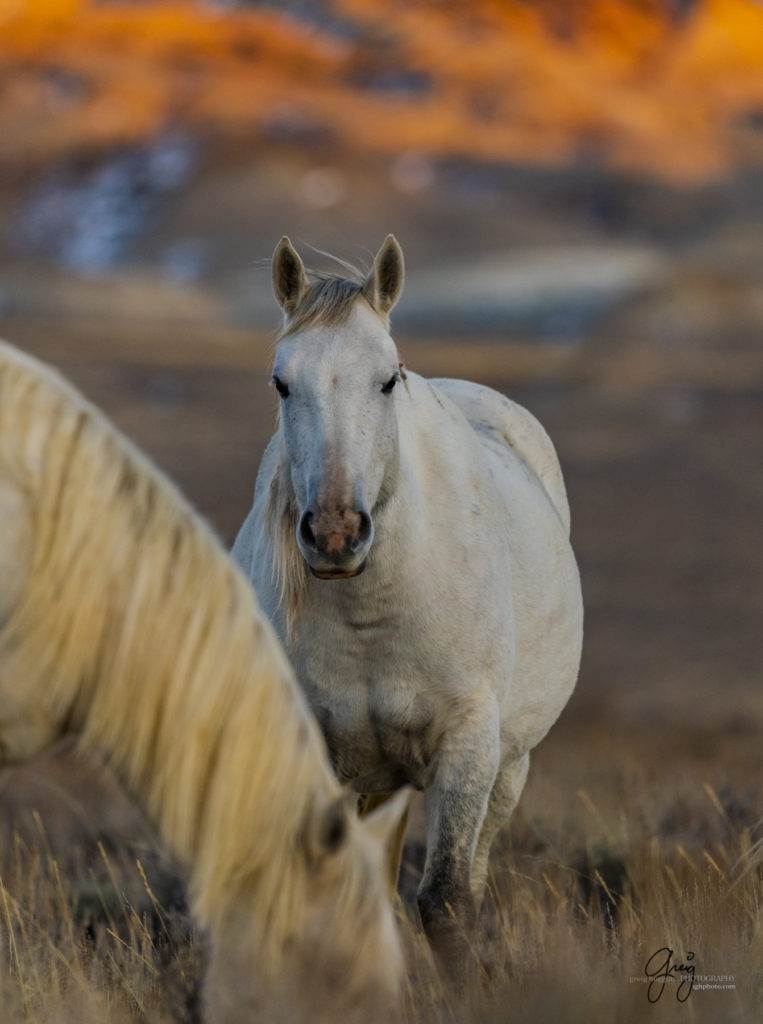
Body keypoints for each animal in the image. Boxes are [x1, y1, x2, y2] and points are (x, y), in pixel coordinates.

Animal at [232, 235, 581, 970]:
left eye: (388, 379)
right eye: (281, 383)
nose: (336, 532)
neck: (371, 616)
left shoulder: (467, 747)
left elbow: (447, 901)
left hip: (506, 769)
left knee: (473, 871)